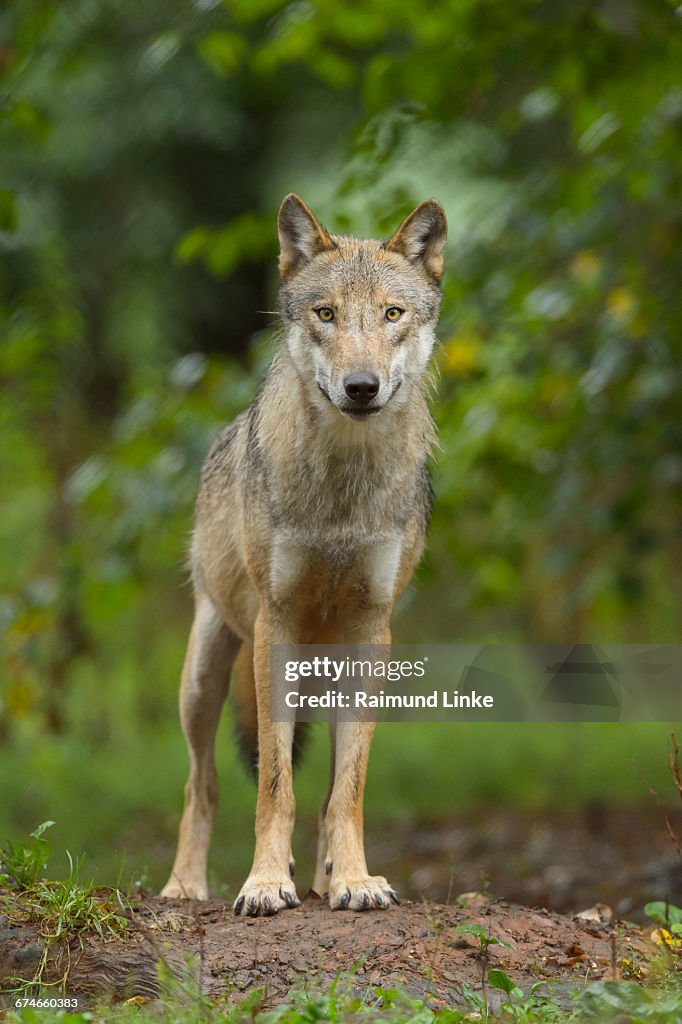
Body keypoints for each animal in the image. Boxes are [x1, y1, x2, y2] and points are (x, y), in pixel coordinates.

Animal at [161, 194, 447, 915]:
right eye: (326, 314)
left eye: (391, 314)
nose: (361, 386)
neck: (342, 493)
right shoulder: (276, 622)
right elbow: (273, 787)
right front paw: (265, 883)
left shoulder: (373, 631)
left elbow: (345, 791)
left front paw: (354, 881)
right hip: (205, 676)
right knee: (202, 784)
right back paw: (184, 886)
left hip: (332, 669)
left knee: (320, 791)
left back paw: (323, 878)